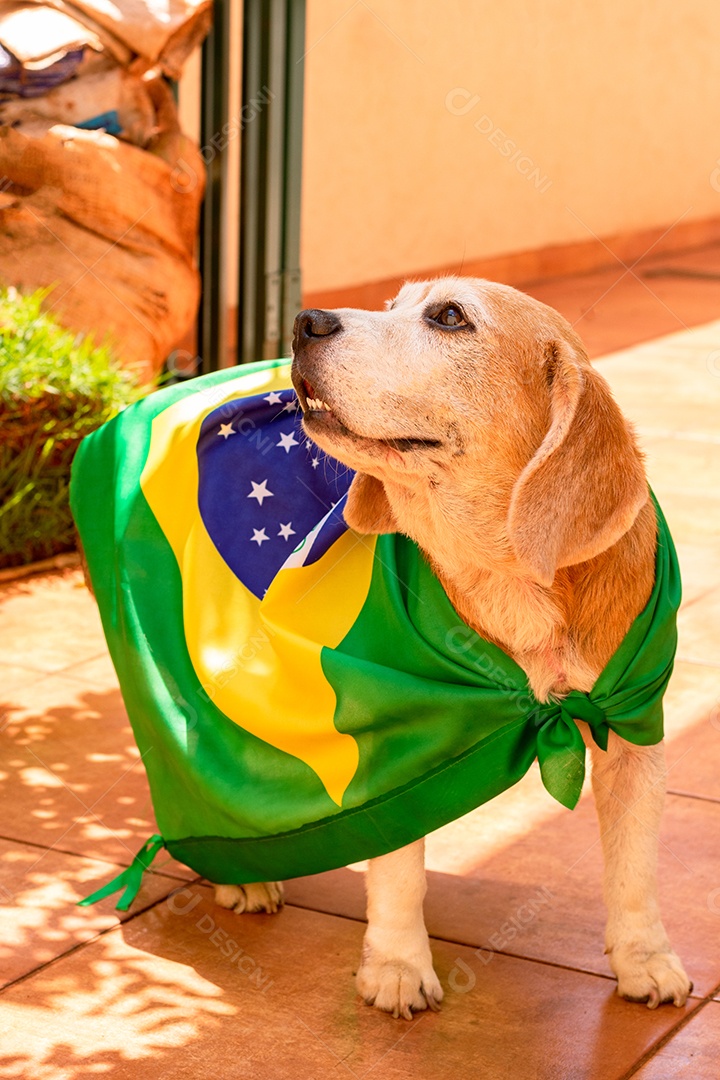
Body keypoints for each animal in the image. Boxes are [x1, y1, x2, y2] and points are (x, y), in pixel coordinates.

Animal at [212, 274, 690, 1015]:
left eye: (448, 317)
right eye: (391, 306)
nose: (304, 322)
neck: (511, 576)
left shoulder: (634, 729)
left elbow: (635, 869)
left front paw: (645, 957)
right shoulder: (396, 737)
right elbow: (400, 871)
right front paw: (397, 964)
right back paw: (241, 874)